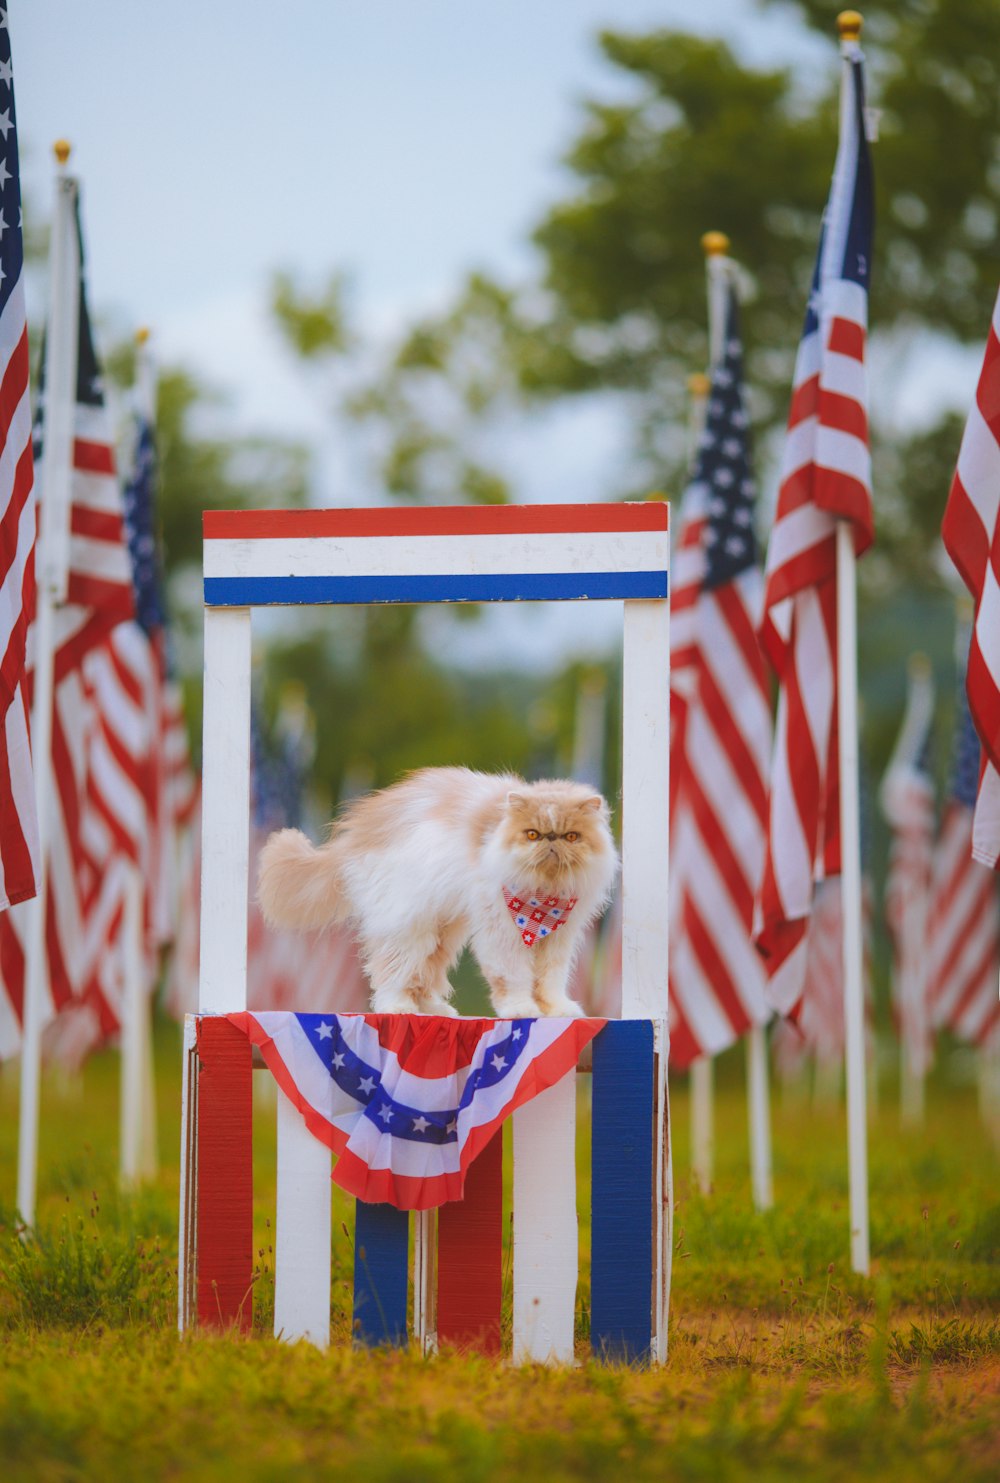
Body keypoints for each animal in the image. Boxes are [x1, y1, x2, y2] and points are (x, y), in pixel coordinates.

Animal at [255, 765, 614, 1020]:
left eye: (571, 836)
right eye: (532, 835)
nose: (551, 841)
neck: (544, 897)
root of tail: (357, 835)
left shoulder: (559, 938)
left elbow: (551, 979)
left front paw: (556, 1010)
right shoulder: (501, 931)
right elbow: (513, 976)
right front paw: (520, 1009)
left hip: (443, 930)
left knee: (424, 974)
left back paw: (436, 1009)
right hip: (410, 926)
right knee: (391, 972)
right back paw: (398, 1008)